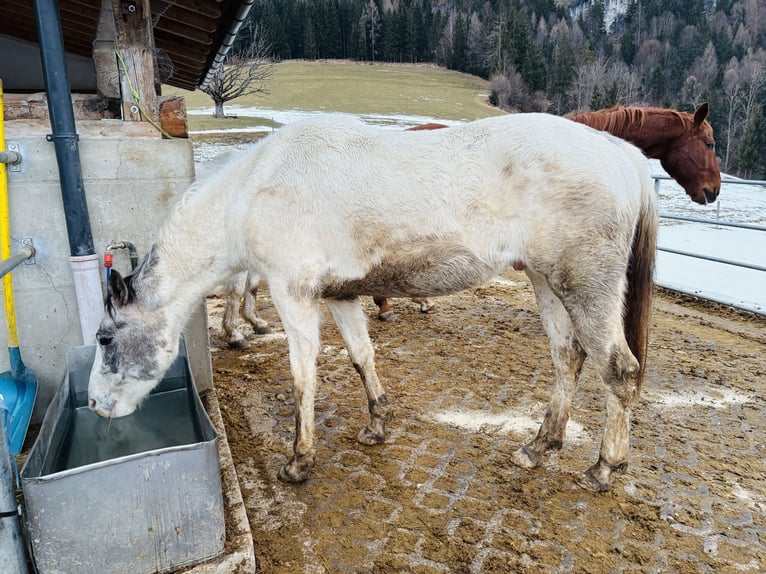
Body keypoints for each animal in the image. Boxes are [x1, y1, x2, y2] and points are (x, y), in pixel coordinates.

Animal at [88, 113, 658, 492]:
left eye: (105, 337)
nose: (95, 405)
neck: (253, 192)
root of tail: (623, 154)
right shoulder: (341, 297)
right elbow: (362, 357)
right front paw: (376, 425)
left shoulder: (294, 296)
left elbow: (303, 377)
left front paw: (299, 461)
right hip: (546, 282)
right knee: (568, 358)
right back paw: (539, 448)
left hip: (584, 286)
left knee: (618, 371)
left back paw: (605, 467)